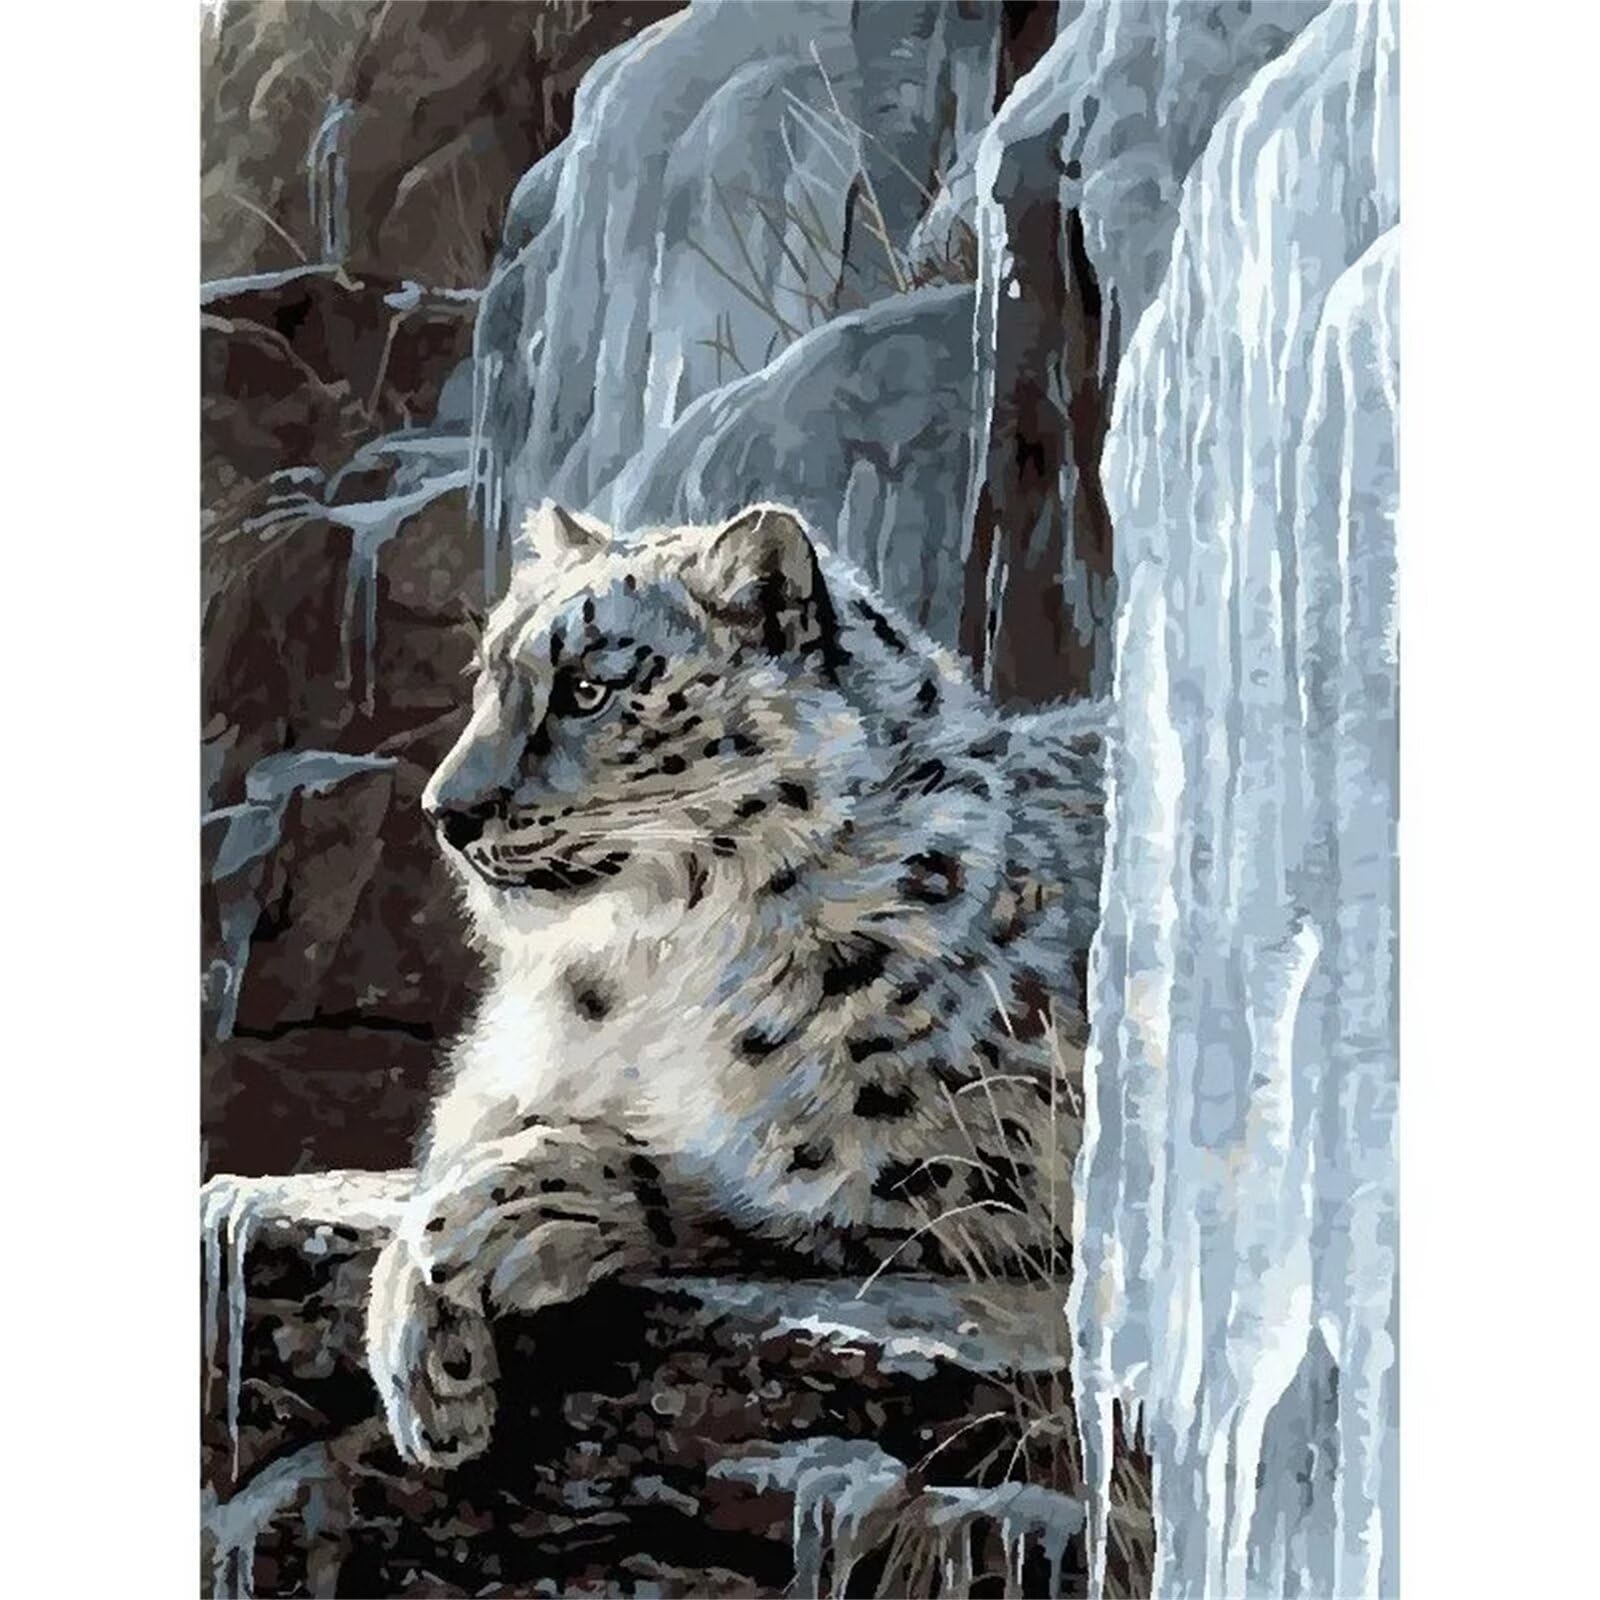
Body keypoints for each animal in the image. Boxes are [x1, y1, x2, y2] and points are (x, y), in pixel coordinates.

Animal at [365, 500, 1105, 1469]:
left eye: (588, 690)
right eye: (489, 677)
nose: (444, 812)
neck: (635, 970)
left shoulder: (990, 1141)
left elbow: (782, 1181)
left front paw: (524, 1204)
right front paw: (422, 1359)